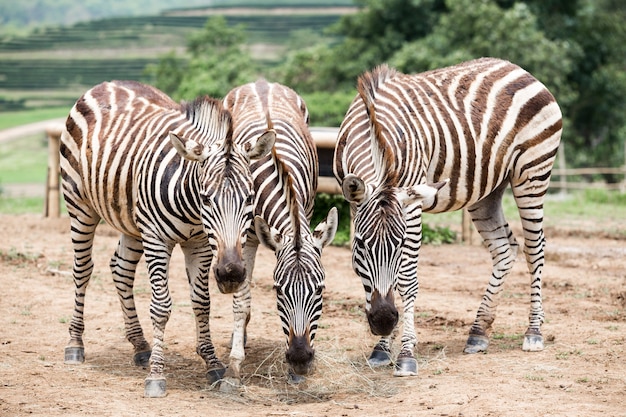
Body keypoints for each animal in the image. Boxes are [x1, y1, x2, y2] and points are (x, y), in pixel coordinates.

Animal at [59, 79, 272, 394]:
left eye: (249, 198)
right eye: (206, 199)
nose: (232, 274)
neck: (191, 205)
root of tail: (108, 84)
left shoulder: (199, 244)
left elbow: (202, 303)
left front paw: (212, 363)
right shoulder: (158, 239)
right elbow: (161, 307)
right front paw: (157, 375)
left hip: (132, 222)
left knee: (121, 270)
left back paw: (140, 345)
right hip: (80, 206)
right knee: (83, 270)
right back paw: (75, 343)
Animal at [219, 80, 336, 386]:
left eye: (320, 290)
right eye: (278, 290)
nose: (299, 359)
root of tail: (261, 82)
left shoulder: (306, 212)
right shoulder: (245, 238)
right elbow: (241, 300)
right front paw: (234, 366)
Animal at [334, 57, 564, 374]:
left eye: (400, 244)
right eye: (359, 245)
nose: (383, 321)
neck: (375, 132)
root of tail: (518, 68)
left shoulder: (412, 204)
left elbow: (407, 279)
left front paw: (405, 354)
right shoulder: (355, 203)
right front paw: (382, 348)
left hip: (532, 173)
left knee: (535, 249)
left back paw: (534, 331)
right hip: (486, 190)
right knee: (505, 249)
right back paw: (478, 333)